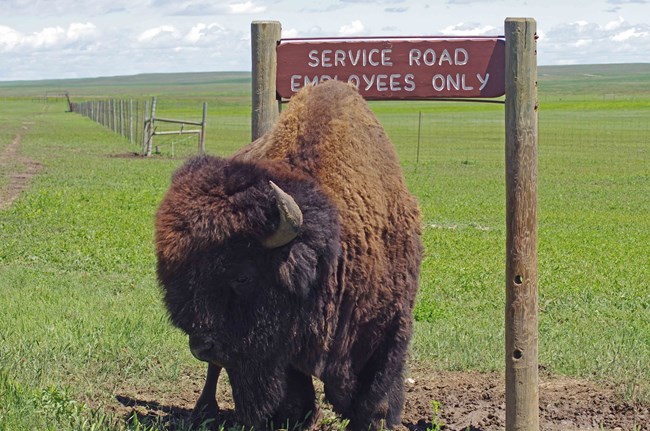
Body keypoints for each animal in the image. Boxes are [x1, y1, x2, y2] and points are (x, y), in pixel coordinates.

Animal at [155, 81, 422, 431]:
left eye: (242, 276)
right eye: (175, 278)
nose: (201, 345)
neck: (330, 256)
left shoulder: (391, 319)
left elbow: (379, 383)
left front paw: (377, 419)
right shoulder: (277, 346)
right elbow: (290, 384)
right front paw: (294, 417)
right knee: (217, 372)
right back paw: (206, 410)